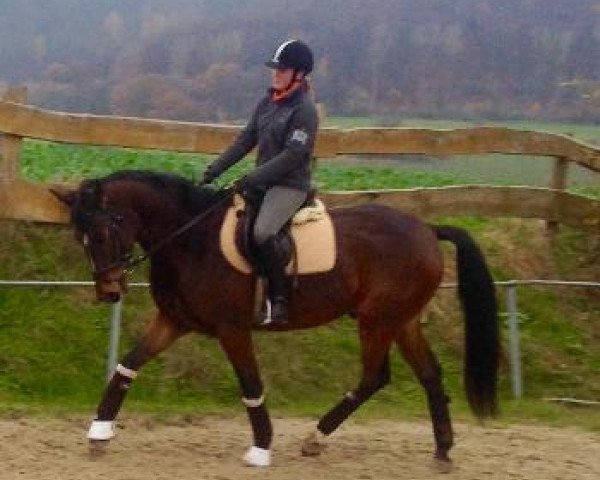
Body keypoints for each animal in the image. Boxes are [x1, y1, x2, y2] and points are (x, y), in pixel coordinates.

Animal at [51, 171, 500, 466]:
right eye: (80, 237)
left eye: (103, 232)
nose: (109, 293)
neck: (190, 240)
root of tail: (427, 228)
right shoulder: (174, 321)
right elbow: (128, 364)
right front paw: (99, 432)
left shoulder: (232, 329)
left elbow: (251, 385)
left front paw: (261, 447)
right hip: (401, 320)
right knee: (429, 375)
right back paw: (441, 450)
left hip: (377, 320)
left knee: (376, 377)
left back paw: (317, 437)